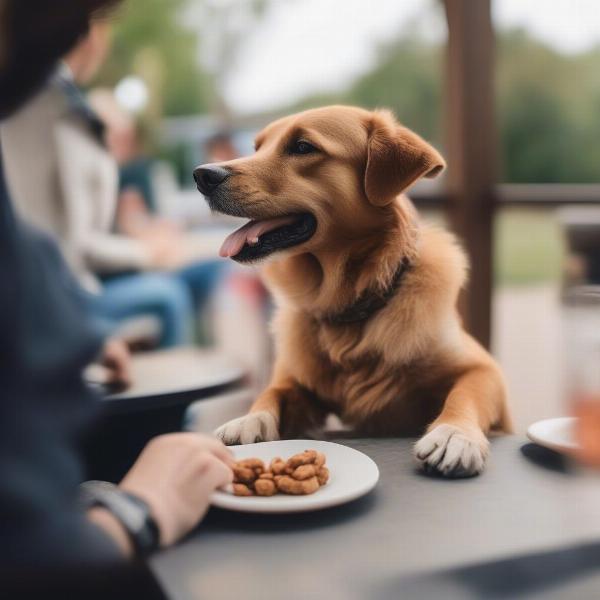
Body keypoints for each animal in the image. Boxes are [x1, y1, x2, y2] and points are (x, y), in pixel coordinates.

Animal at [196, 104, 510, 478]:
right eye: (258, 148)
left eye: (302, 147)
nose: (202, 175)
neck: (349, 305)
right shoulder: (297, 379)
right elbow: (274, 390)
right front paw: (249, 419)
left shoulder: (484, 371)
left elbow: (466, 393)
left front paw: (454, 434)